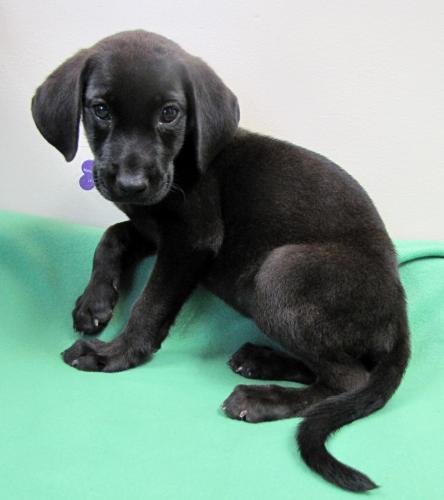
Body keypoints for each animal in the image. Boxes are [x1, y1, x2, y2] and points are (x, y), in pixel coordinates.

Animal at [33, 31, 412, 492]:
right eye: (100, 109)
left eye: (170, 113)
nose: (131, 184)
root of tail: (400, 313)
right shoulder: (152, 228)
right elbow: (111, 237)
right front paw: (94, 304)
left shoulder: (190, 240)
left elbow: (149, 305)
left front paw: (115, 354)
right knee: (332, 370)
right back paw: (262, 361)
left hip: (280, 273)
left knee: (350, 379)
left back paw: (265, 399)